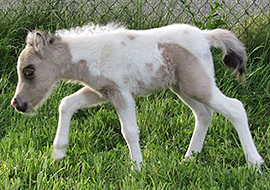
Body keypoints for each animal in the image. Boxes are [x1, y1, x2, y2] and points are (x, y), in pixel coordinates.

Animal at [11, 23, 264, 170]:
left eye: (29, 71)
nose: (18, 104)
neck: (92, 54)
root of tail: (205, 35)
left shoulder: (121, 93)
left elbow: (130, 131)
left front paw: (137, 169)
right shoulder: (100, 91)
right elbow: (66, 104)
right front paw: (58, 154)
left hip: (198, 85)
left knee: (235, 108)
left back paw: (255, 163)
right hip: (182, 87)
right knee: (204, 113)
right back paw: (189, 157)